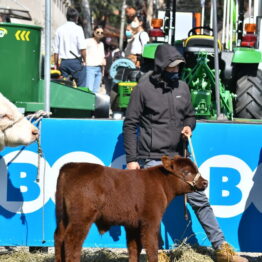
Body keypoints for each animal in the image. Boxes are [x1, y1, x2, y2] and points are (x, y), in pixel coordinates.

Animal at [54, 156, 208, 262]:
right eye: (186, 172)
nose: (205, 182)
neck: (161, 184)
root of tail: (71, 166)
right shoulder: (150, 221)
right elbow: (151, 247)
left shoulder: (133, 225)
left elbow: (134, 248)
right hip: (81, 217)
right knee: (72, 240)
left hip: (63, 216)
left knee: (59, 236)